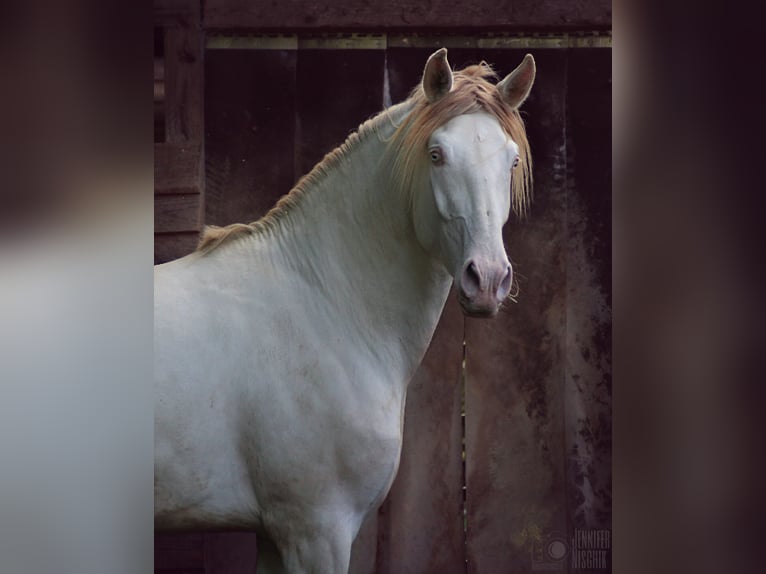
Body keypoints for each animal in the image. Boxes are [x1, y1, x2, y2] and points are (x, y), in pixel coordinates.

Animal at [155, 49, 536, 574]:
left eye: (511, 159)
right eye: (436, 155)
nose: (488, 279)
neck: (320, 302)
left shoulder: (274, 535)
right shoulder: (316, 530)